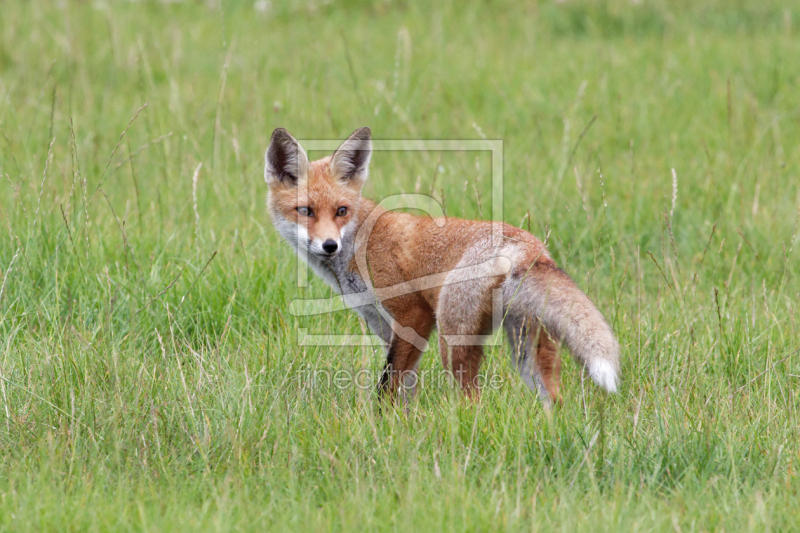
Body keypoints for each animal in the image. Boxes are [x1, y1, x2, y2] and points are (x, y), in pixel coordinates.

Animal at [266, 128, 620, 404]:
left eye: (341, 211)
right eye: (305, 211)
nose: (329, 245)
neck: (359, 243)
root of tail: (533, 247)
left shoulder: (414, 314)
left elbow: (386, 387)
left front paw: (379, 426)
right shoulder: (386, 328)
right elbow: (404, 389)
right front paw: (401, 430)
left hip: (452, 335)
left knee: (472, 400)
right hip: (526, 348)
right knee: (554, 399)